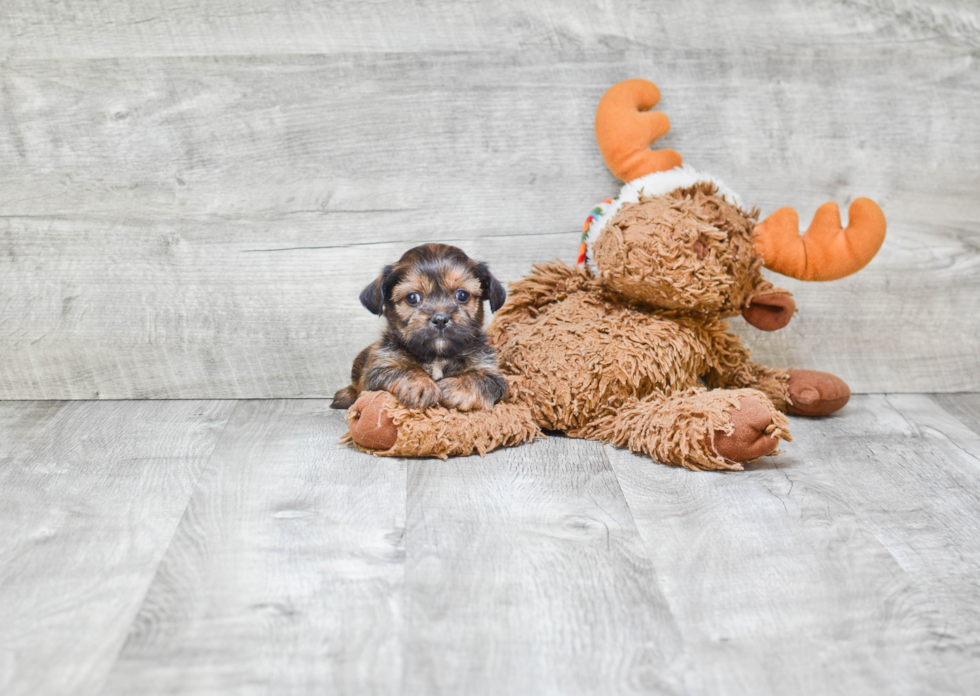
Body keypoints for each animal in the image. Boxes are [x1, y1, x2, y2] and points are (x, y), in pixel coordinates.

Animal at [334, 243, 510, 410]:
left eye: (462, 295)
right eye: (412, 297)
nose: (440, 319)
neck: (437, 356)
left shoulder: (492, 374)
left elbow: (481, 379)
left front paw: (455, 388)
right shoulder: (377, 370)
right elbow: (404, 370)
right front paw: (421, 385)